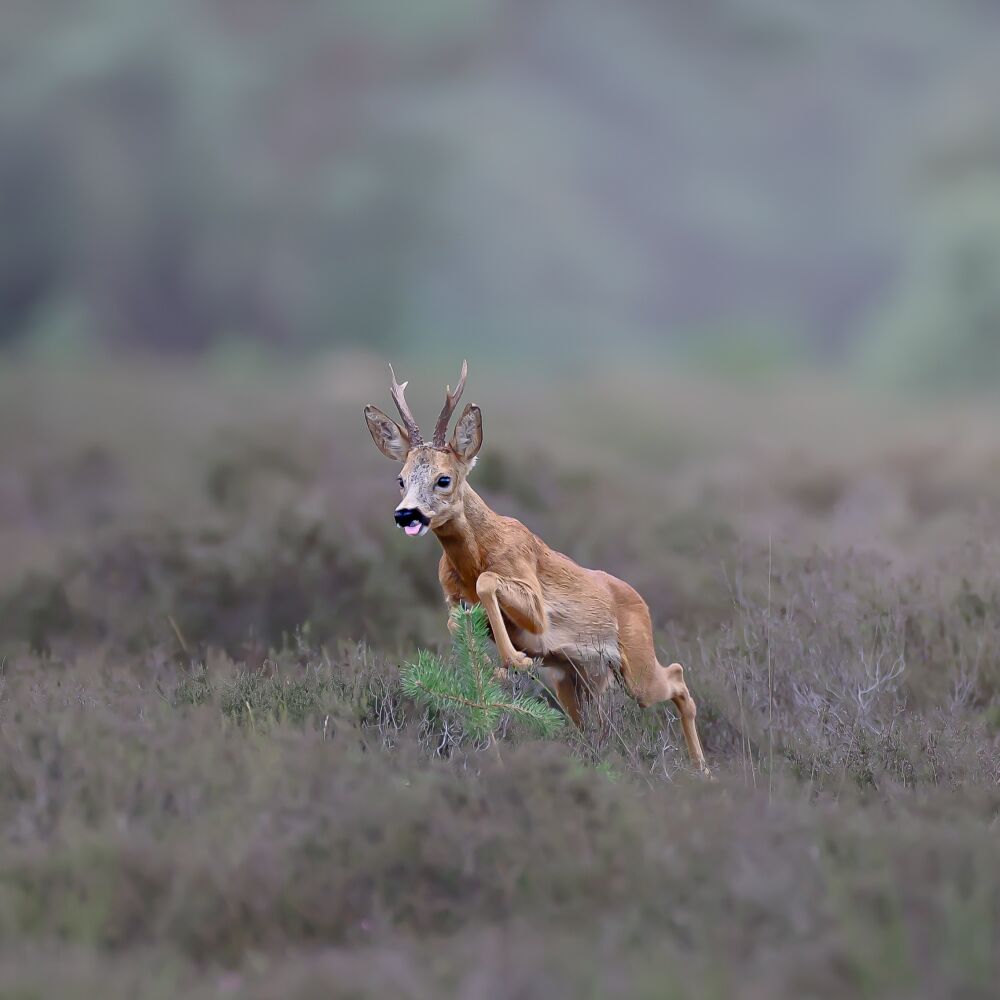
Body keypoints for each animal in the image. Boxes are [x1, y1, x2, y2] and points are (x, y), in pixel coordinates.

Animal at [368, 362, 712, 772]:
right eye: (400, 479)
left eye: (443, 479)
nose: (406, 514)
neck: (474, 555)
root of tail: (640, 601)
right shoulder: (451, 598)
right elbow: (457, 621)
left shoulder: (533, 598)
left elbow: (488, 582)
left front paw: (513, 659)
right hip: (574, 678)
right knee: (593, 726)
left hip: (637, 662)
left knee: (677, 678)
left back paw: (703, 770)